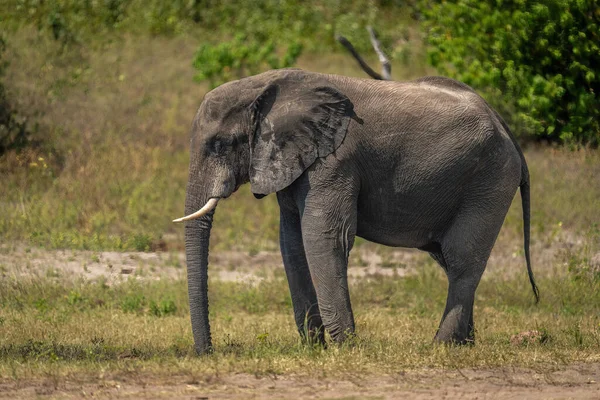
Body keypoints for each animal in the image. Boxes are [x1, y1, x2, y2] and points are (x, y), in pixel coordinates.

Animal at [173, 67, 540, 354]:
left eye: (220, 145)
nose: (208, 352)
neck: (267, 85)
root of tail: (507, 131)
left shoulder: (335, 161)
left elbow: (324, 237)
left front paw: (344, 347)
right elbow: (292, 243)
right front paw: (314, 348)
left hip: (489, 180)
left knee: (462, 259)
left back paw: (441, 346)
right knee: (449, 261)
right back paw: (466, 344)